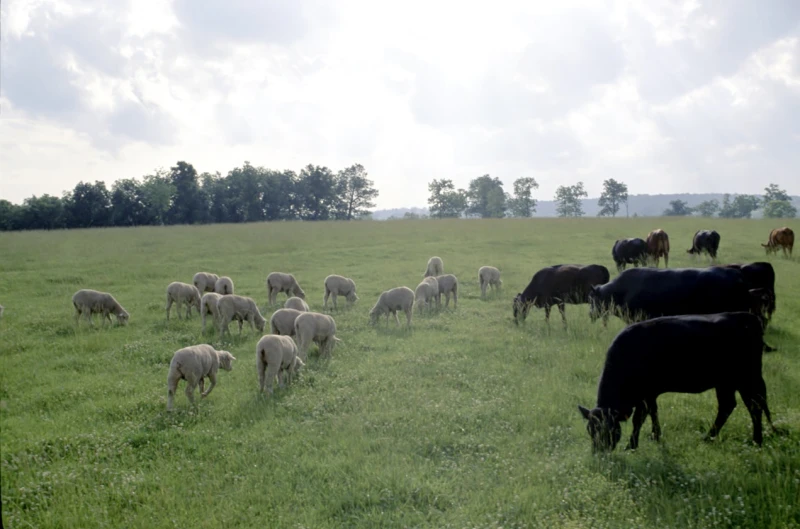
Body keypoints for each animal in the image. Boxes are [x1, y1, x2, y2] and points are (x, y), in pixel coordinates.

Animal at [580, 312, 780, 452]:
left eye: (610, 429)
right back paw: (710, 437)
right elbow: (653, 413)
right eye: (590, 430)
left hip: (746, 379)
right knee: (729, 406)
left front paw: (632, 445)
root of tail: (747, 317)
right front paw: (656, 436)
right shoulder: (650, 394)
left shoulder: (645, 395)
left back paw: (756, 441)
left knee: (754, 407)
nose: (599, 452)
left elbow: (639, 419)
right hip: (726, 383)